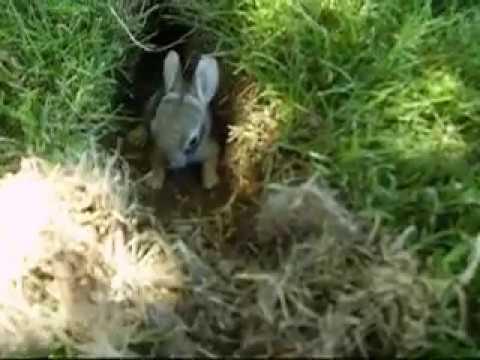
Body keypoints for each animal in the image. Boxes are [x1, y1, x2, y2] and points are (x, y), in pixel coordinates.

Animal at [141, 51, 219, 191]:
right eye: (154, 130)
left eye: (193, 141)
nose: (167, 161)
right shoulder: (155, 150)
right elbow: (155, 163)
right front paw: (155, 182)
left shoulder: (208, 148)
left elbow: (212, 159)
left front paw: (210, 181)